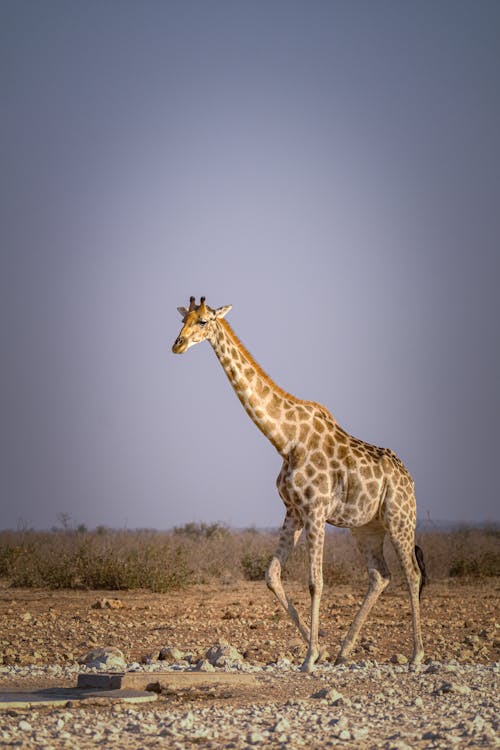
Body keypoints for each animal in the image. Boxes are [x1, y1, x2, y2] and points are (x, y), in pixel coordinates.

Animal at [172, 296, 426, 672]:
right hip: (366, 527)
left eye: (203, 321)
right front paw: (319, 650)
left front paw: (309, 658)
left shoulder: (316, 510)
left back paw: (416, 655)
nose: (177, 345)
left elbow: (315, 582)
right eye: (183, 319)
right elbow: (272, 575)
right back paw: (345, 650)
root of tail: (408, 476)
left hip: (400, 518)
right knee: (380, 575)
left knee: (412, 573)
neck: (285, 439)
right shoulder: (293, 510)